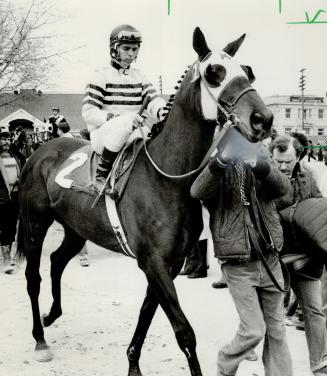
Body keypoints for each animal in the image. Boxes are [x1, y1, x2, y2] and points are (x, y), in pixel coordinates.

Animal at [18, 27, 274, 376]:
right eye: (214, 73)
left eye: (247, 72)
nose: (264, 119)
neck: (166, 177)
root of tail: (41, 152)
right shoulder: (153, 262)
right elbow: (184, 333)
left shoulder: (169, 263)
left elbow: (145, 314)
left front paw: (132, 364)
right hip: (35, 222)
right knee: (34, 277)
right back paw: (40, 339)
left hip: (76, 228)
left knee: (57, 261)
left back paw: (52, 314)